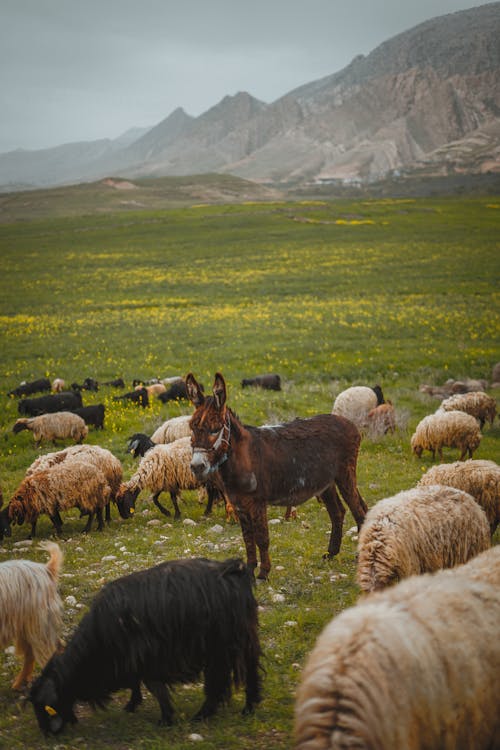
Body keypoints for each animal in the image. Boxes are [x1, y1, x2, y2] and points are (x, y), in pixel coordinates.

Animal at [28, 560, 262, 736]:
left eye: (45, 707)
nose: (46, 734)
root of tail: (234, 570)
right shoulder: (132, 661)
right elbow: (135, 683)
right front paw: (132, 705)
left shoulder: (148, 659)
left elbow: (155, 688)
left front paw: (165, 718)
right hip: (246, 641)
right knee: (251, 673)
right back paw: (249, 707)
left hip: (220, 647)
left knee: (217, 684)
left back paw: (202, 715)